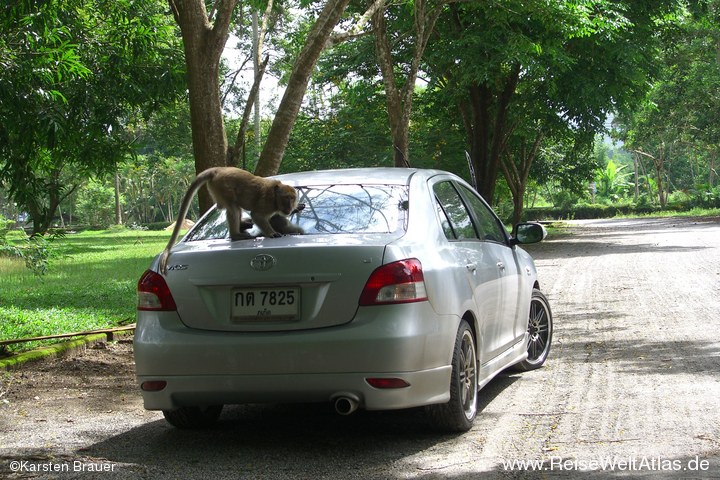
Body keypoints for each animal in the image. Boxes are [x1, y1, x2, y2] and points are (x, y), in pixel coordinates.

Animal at [159, 168, 302, 274]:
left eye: (292, 198)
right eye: (286, 198)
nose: (290, 206)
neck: (275, 198)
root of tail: (218, 169)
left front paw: (297, 208)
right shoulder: (267, 203)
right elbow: (257, 216)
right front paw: (272, 233)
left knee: (230, 206)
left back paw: (242, 225)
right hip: (222, 186)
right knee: (233, 207)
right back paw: (236, 235)